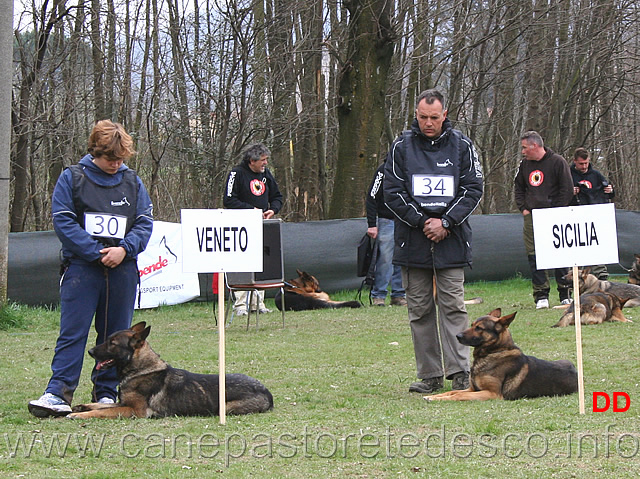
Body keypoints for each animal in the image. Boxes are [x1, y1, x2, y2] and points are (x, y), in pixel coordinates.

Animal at [67, 322, 272, 420]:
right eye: (107, 339)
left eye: (112, 343)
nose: (90, 351)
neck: (140, 369)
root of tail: (267, 392)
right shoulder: (124, 404)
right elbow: (100, 406)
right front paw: (81, 407)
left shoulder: (135, 410)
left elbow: (102, 411)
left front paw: (78, 415)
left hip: (226, 408)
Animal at [424, 310, 580, 404]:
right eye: (472, 324)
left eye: (479, 328)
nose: (457, 336)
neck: (494, 352)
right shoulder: (472, 390)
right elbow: (452, 392)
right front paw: (433, 396)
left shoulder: (492, 394)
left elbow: (458, 395)